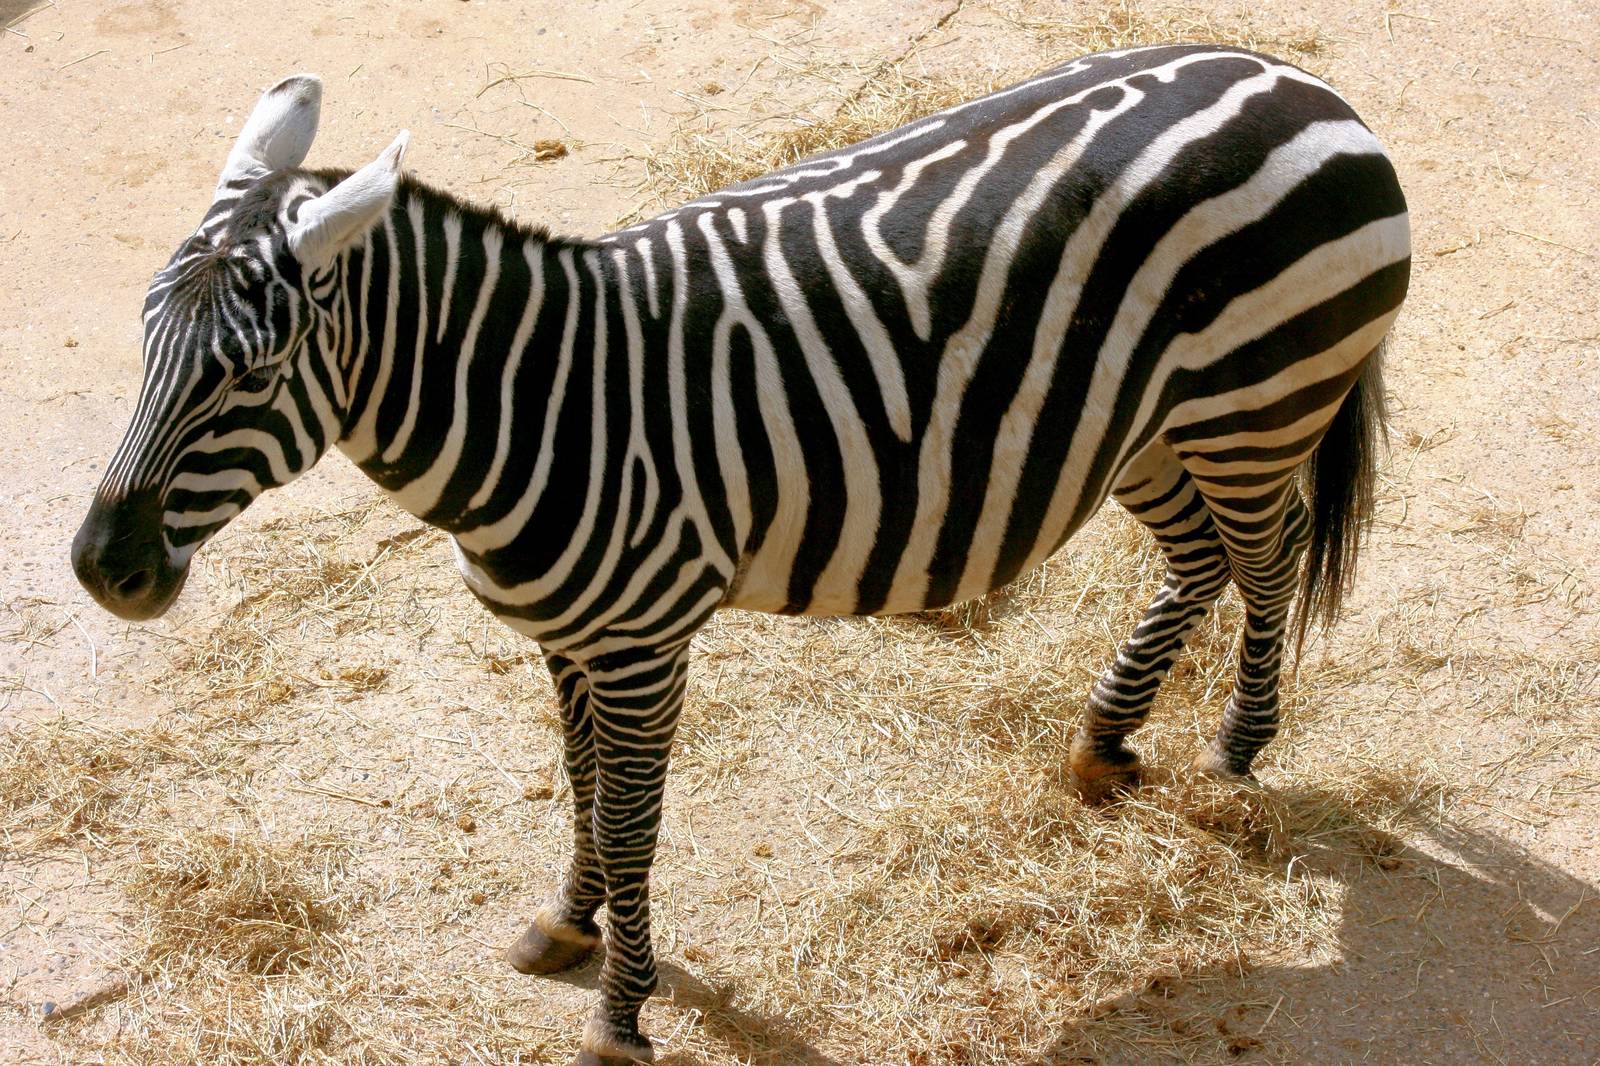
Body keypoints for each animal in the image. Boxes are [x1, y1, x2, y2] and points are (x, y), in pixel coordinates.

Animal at [71, 45, 1409, 1065]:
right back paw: (1102, 741)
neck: (544, 403)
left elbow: (629, 821)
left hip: (1256, 401)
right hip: (1140, 424)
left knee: (1270, 556)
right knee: (1200, 560)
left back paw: (1237, 749)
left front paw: (621, 1016)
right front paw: (569, 923)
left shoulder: (641, 643)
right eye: (143, 338)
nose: (99, 569)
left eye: (249, 374)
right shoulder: (573, 640)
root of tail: (1294, 78)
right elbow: (581, 792)